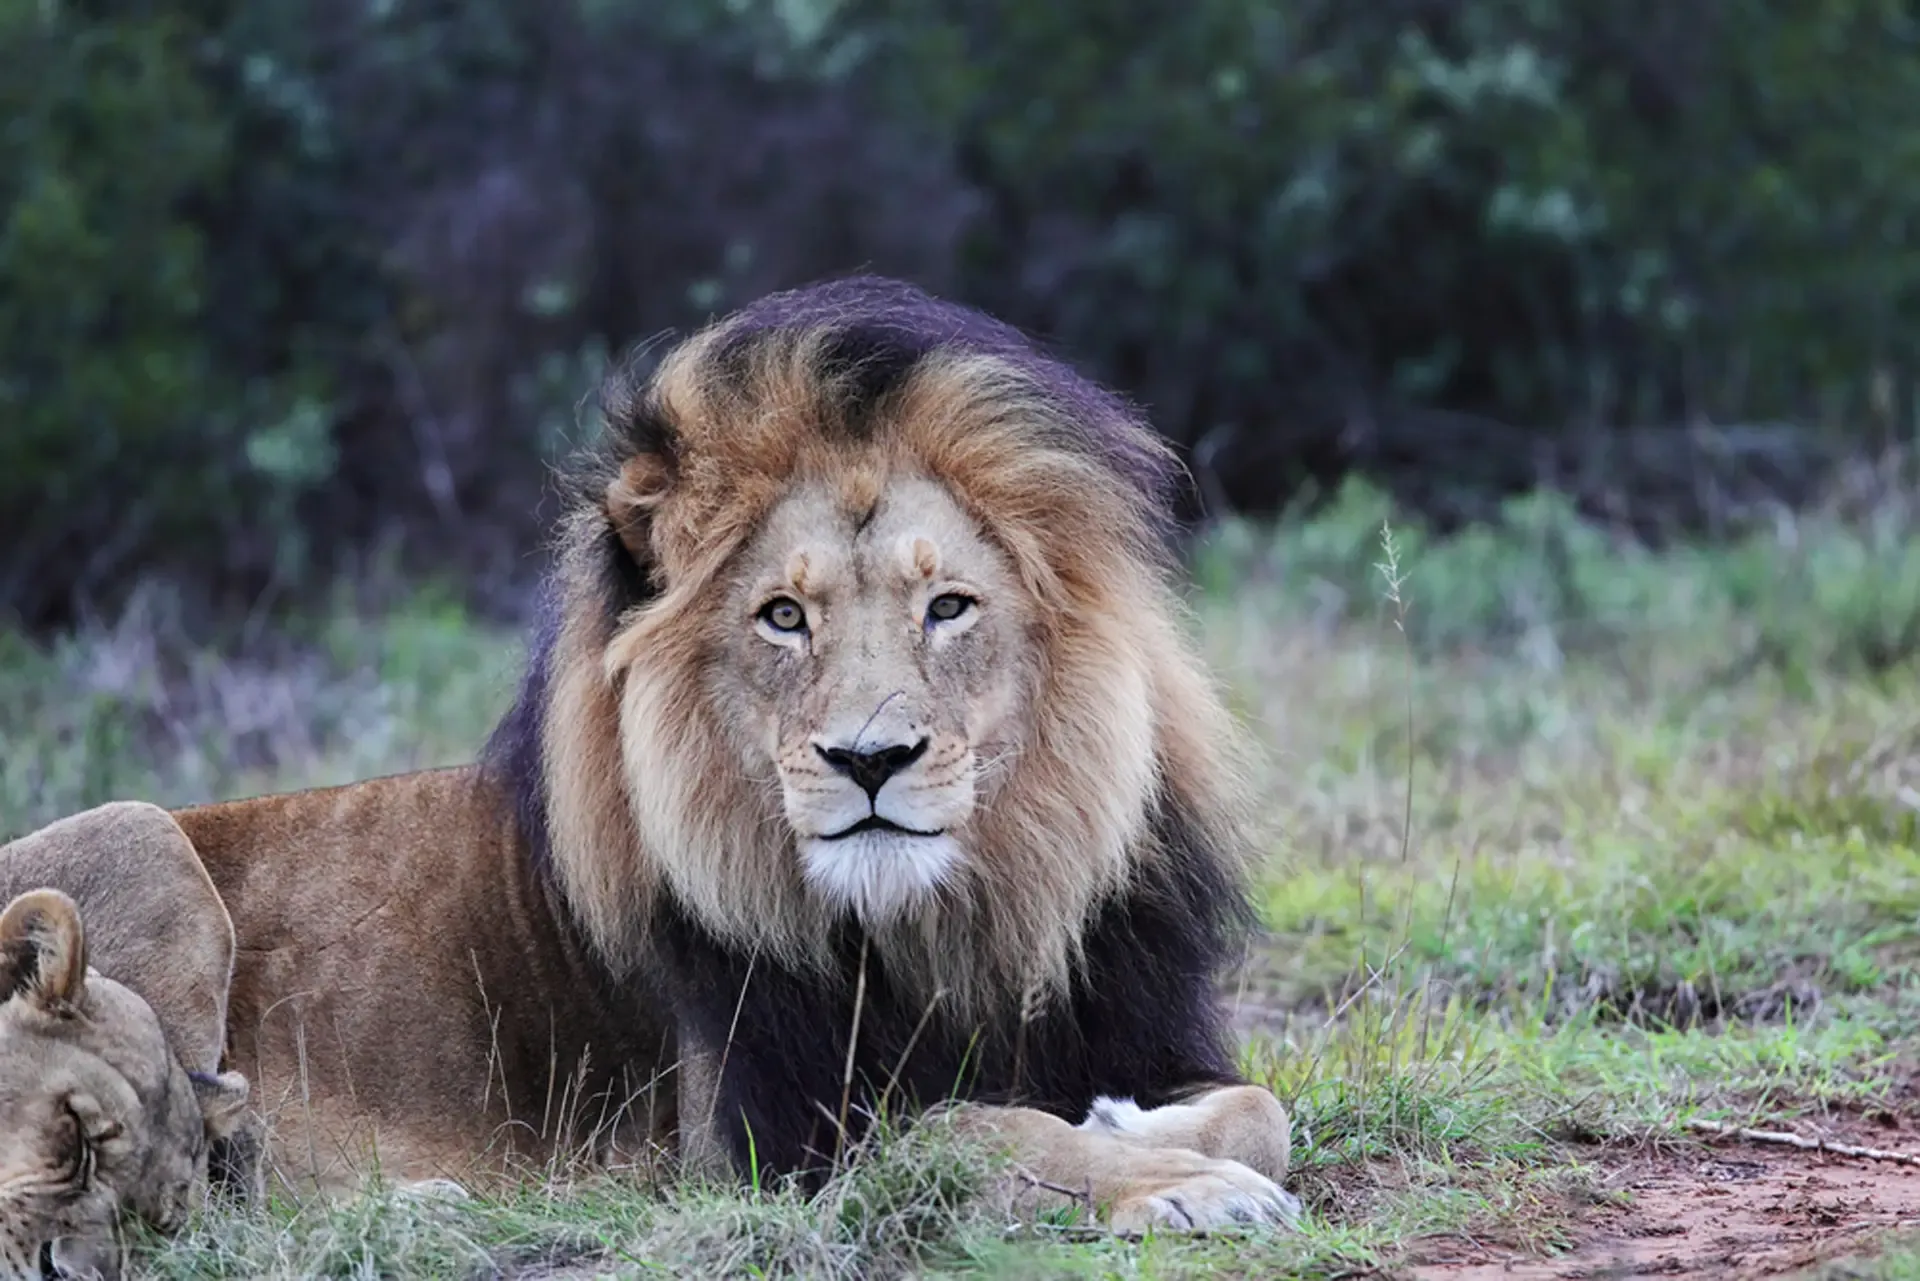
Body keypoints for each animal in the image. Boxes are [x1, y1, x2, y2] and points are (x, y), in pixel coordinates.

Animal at [4, 275, 1298, 1232]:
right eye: (784, 617)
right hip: (136, 831)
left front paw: (1138, 1128)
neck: (938, 929)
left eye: (949, 609)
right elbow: (983, 1128)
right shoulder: (764, 1142)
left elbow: (1259, 1105)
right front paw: (1182, 1185)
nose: (870, 759)